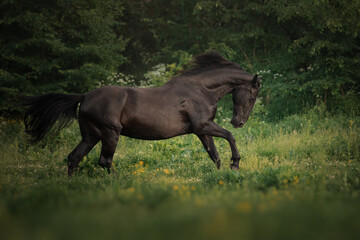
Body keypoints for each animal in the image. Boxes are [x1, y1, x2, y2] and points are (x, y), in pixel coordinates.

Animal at [24, 52, 262, 176]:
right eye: (252, 96)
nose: (239, 122)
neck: (201, 90)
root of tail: (85, 96)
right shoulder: (203, 126)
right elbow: (230, 137)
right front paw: (235, 163)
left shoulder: (201, 130)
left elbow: (214, 155)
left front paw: (222, 174)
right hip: (109, 134)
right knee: (104, 161)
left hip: (91, 136)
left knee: (74, 158)